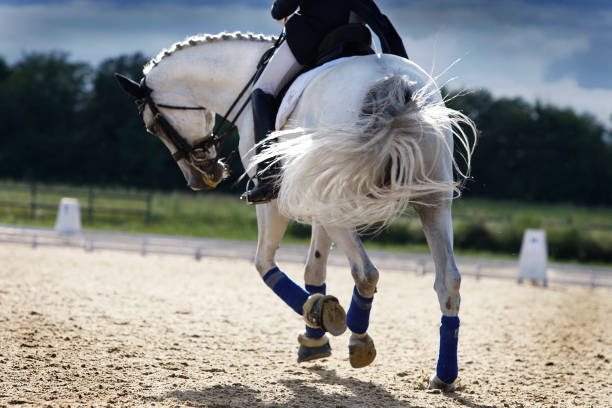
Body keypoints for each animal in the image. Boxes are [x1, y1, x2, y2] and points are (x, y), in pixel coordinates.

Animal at [116, 31, 478, 388]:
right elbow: (313, 271)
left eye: (152, 126)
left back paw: (359, 340)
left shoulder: (274, 200)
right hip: (430, 200)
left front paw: (318, 316)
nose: (201, 179)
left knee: (366, 272)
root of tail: (390, 82)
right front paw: (316, 334)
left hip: (336, 197)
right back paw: (443, 375)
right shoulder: (318, 204)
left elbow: (264, 264)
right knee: (448, 281)